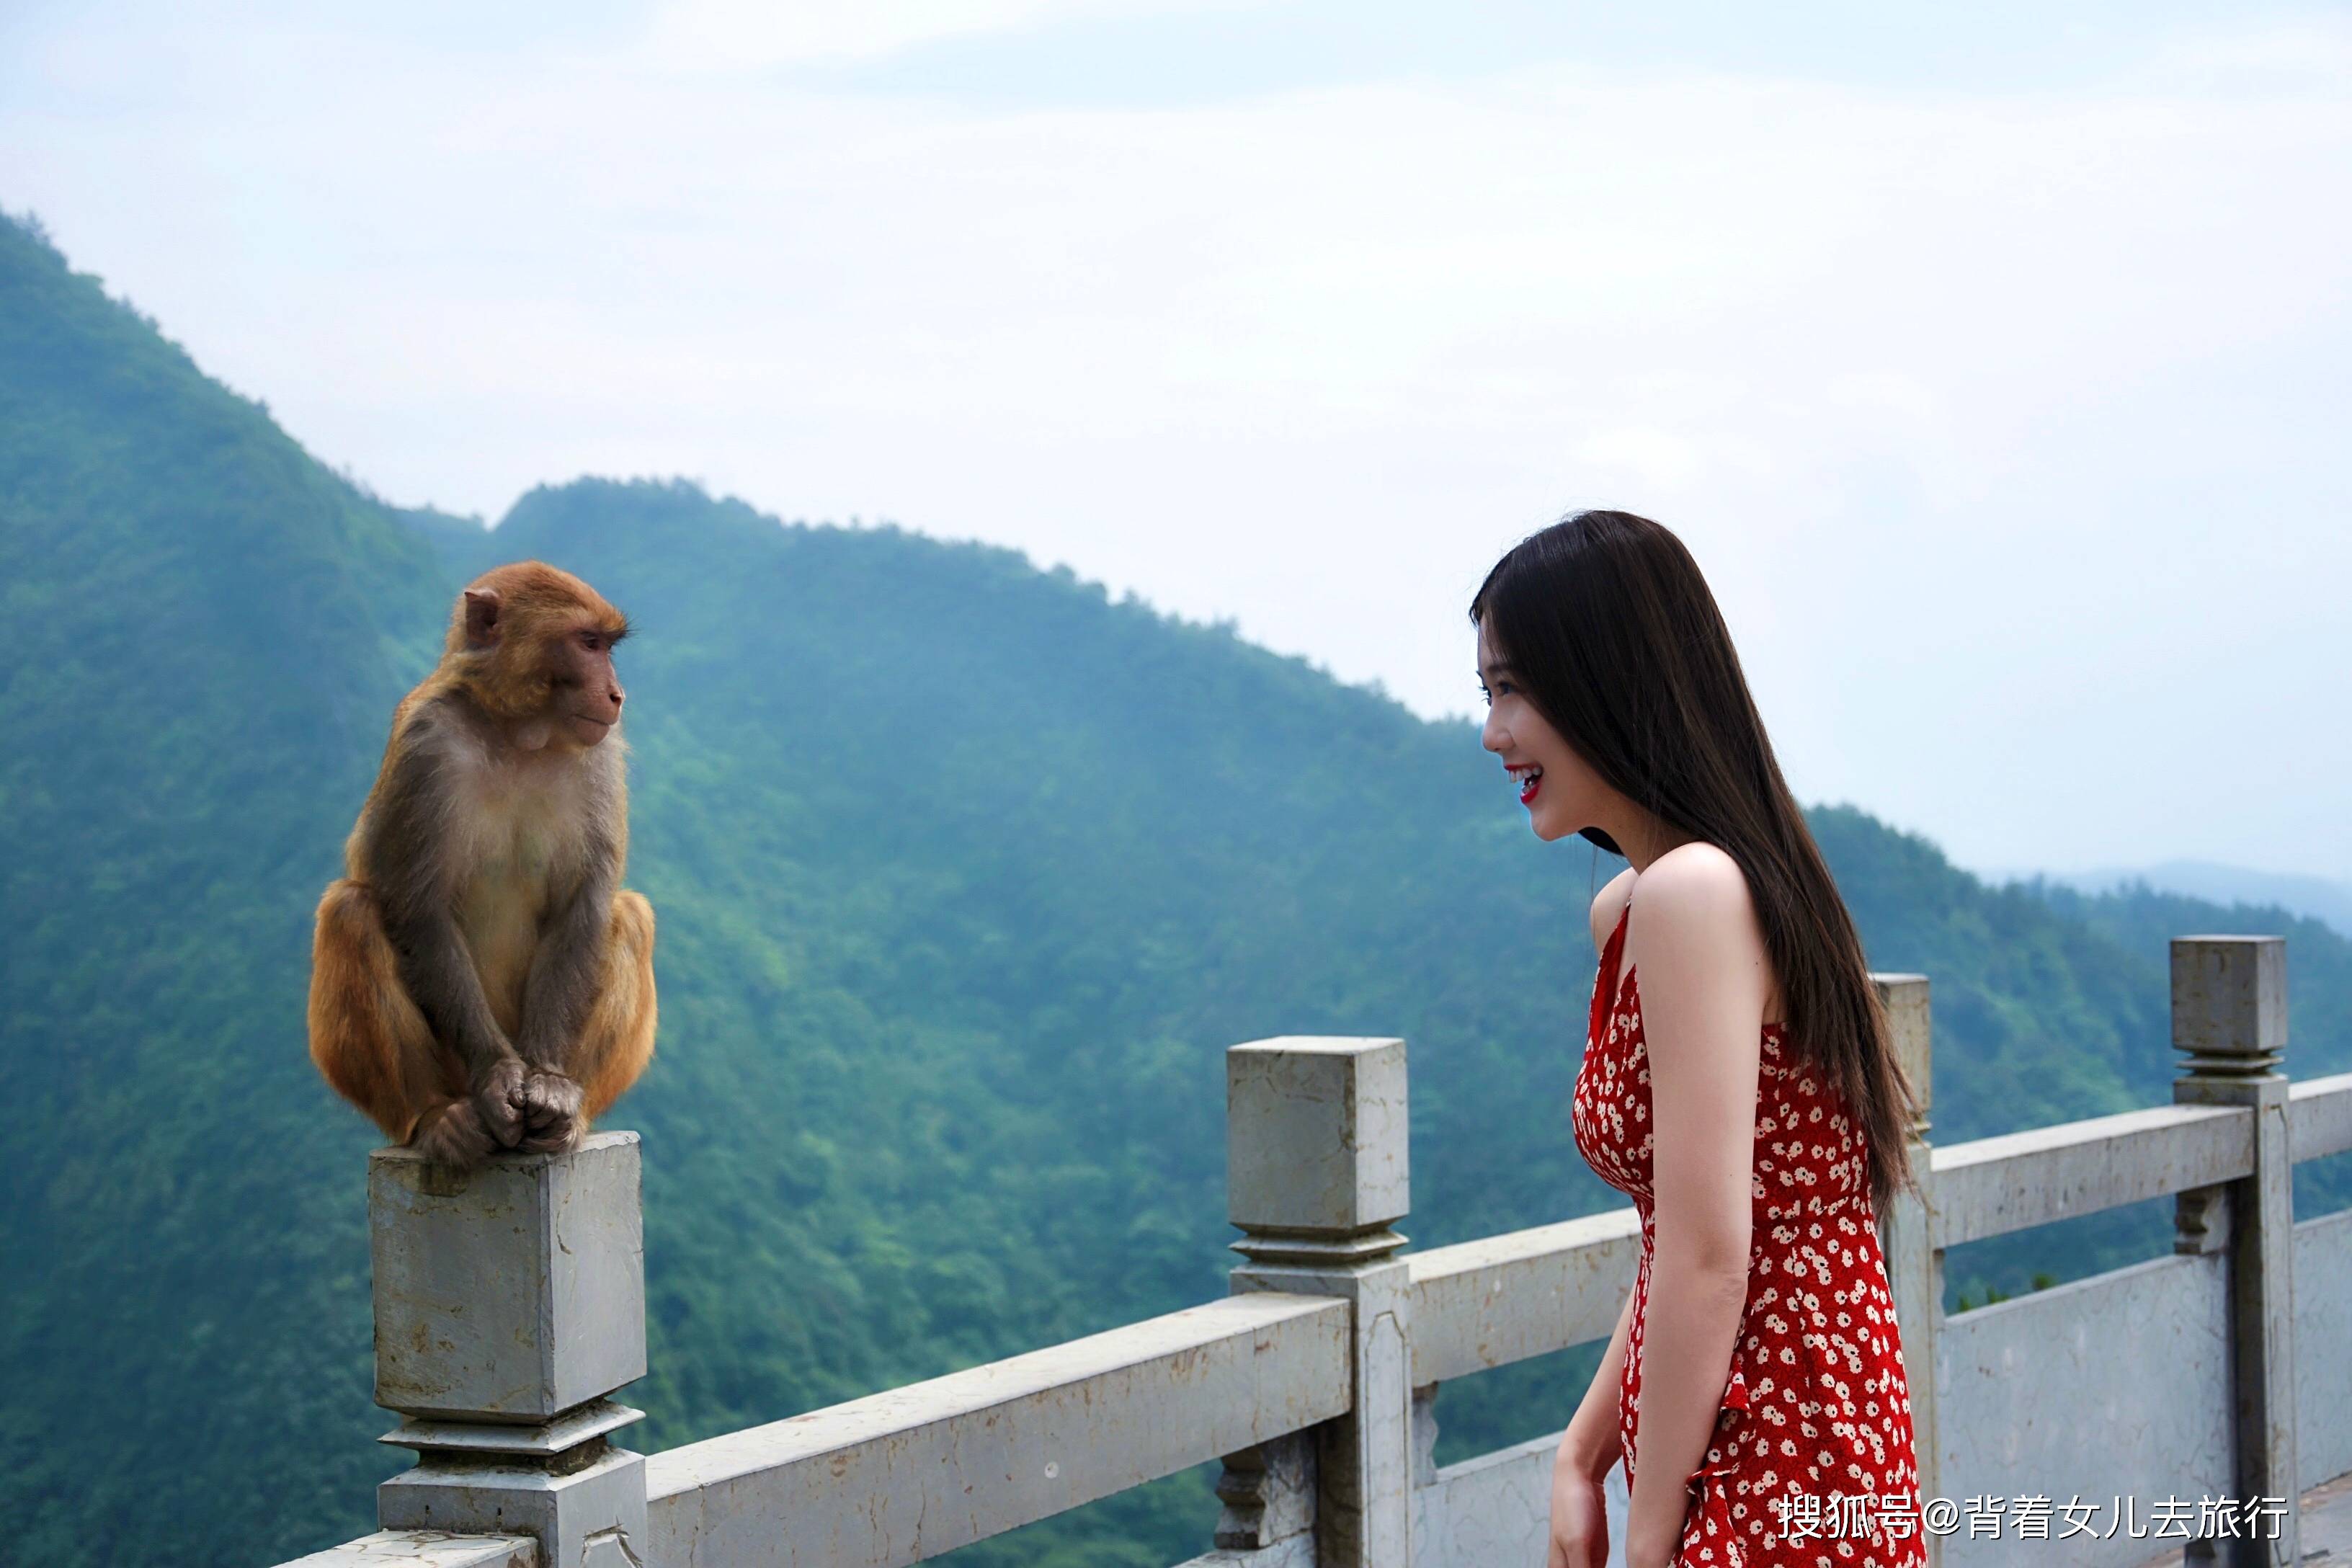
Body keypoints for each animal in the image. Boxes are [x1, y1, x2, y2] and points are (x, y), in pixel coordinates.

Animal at [306, 564, 654, 1166]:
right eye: (588, 643)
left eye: (607, 646)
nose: (616, 694)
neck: (519, 732)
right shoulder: (425, 745)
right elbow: (420, 911)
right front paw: (497, 1076)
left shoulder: (601, 758)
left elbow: (582, 907)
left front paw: (548, 1081)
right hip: (446, 1070)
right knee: (350, 911)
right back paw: (435, 1117)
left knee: (630, 915)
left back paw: (572, 1115)